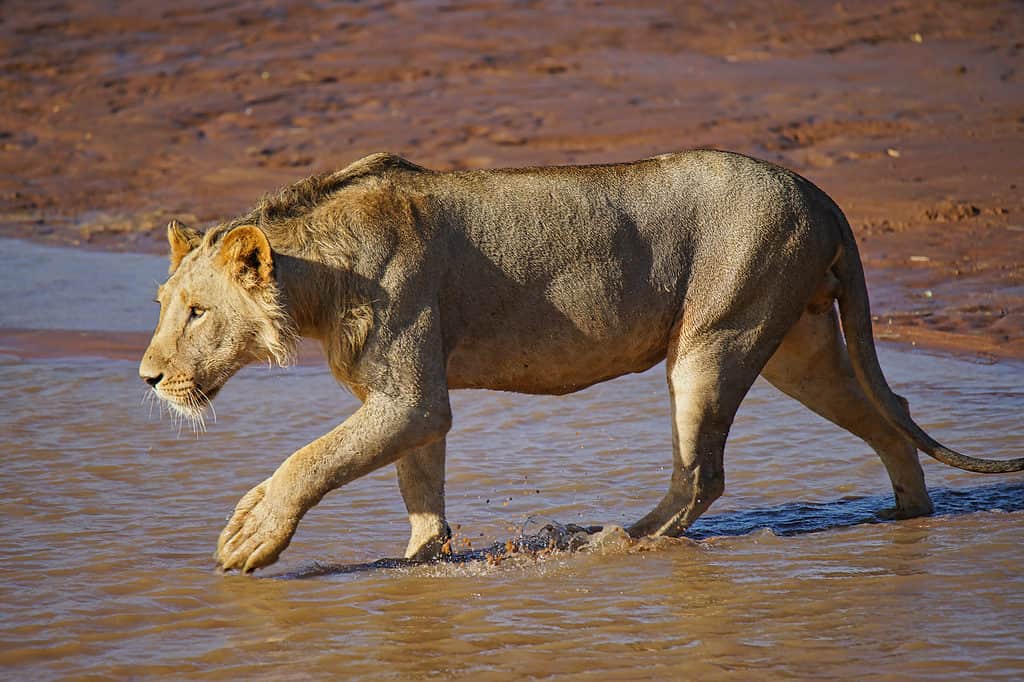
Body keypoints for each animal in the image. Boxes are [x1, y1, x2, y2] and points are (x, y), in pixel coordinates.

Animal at [138, 151, 1024, 569]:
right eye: (162, 304)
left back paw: (613, 541)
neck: (318, 277)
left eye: (197, 312)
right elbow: (419, 487)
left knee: (702, 476)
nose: (147, 377)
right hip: (800, 350)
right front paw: (420, 560)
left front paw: (251, 533)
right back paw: (909, 519)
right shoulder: (411, 405)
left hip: (714, 340)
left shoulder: (411, 395)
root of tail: (820, 192)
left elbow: (310, 460)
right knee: (890, 419)